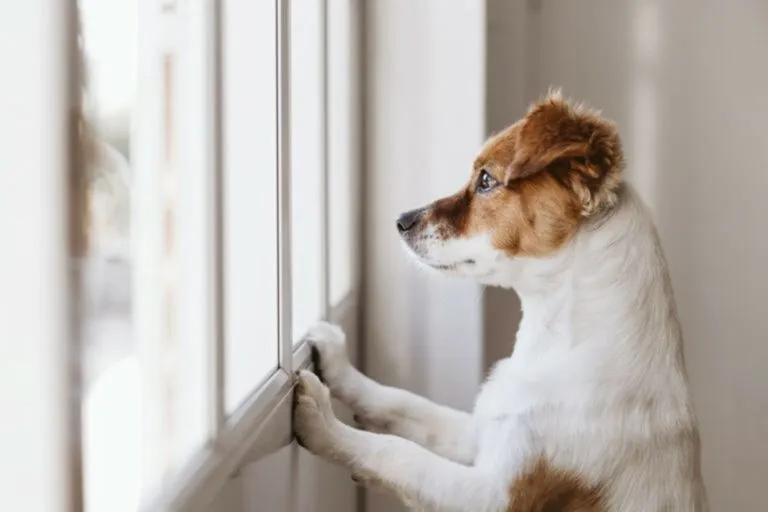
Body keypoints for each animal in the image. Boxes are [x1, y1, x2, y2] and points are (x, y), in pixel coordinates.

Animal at [292, 92, 708, 512]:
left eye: (486, 180)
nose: (400, 220)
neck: (556, 344)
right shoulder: (480, 432)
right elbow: (402, 403)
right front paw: (338, 363)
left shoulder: (495, 496)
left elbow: (398, 452)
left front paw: (323, 423)